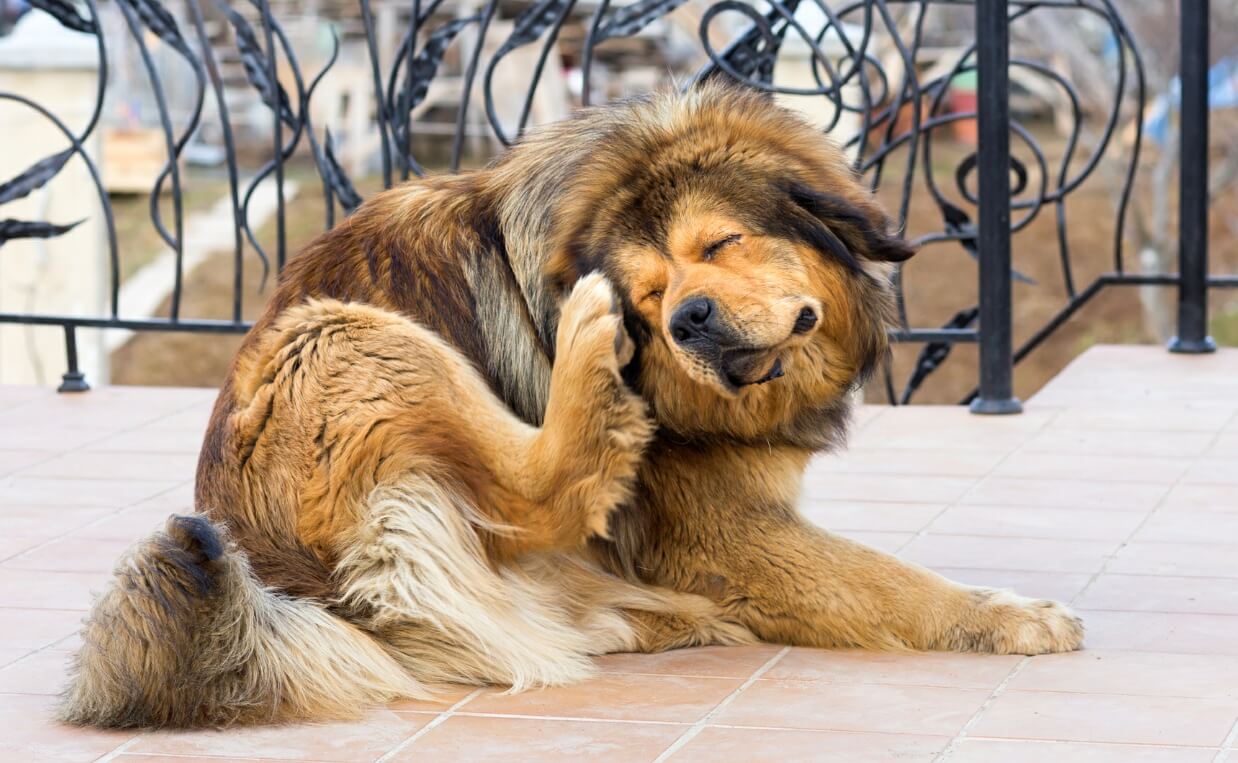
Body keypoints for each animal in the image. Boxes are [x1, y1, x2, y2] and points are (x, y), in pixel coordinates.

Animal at [60, 81, 1084, 728]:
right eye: (649, 292)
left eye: (719, 244)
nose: (686, 320)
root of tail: (280, 583)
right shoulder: (724, 529)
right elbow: (891, 581)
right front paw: (1011, 617)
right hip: (344, 334)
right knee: (539, 490)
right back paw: (587, 364)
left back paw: (654, 615)